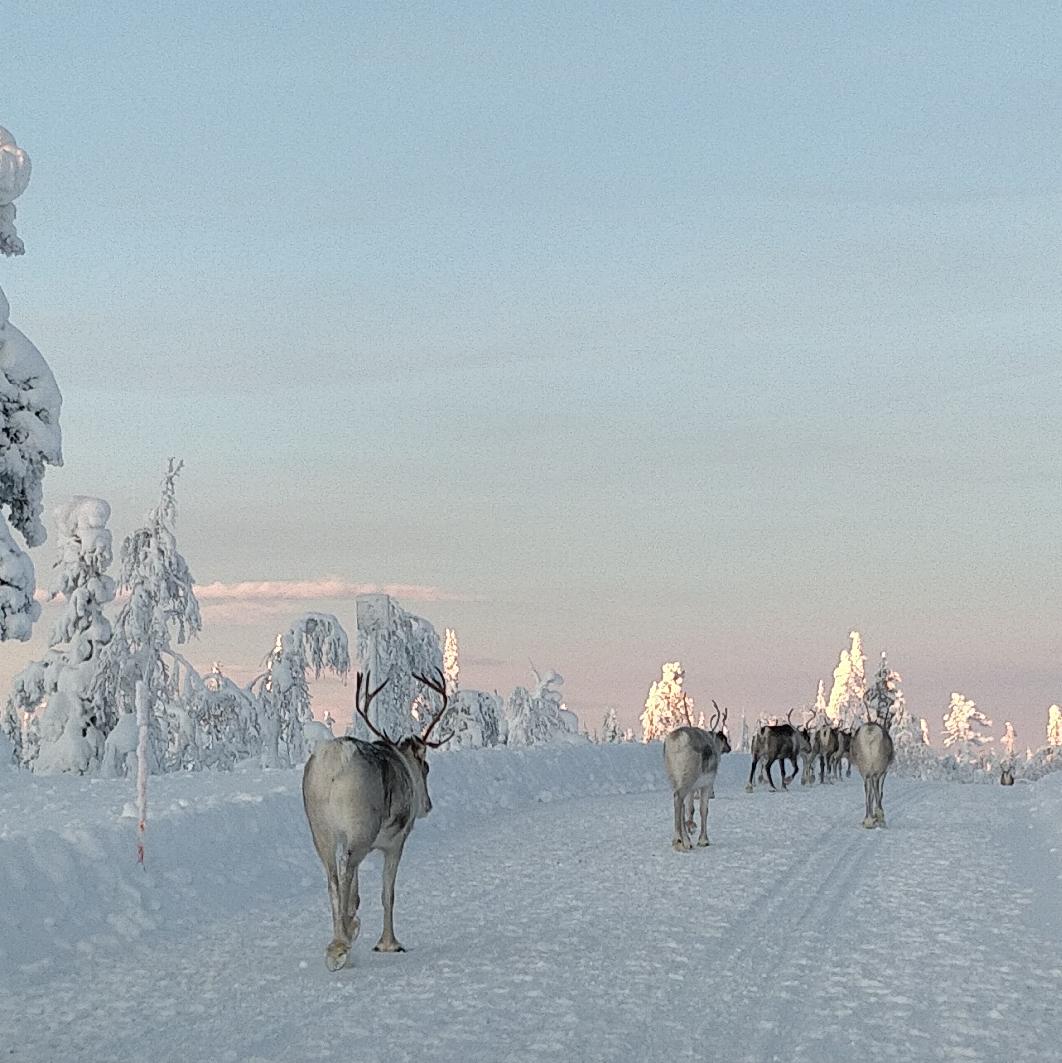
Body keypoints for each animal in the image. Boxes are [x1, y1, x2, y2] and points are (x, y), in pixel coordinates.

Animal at [302, 669, 451, 971]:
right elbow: (387, 894)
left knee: (333, 877)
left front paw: (355, 924)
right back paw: (340, 945)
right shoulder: (395, 843)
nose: (427, 806)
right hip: (361, 831)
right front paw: (388, 943)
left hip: (321, 830)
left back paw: (340, 938)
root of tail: (333, 761)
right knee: (345, 871)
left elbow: (356, 895)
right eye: (427, 767)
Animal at [665, 701, 731, 851]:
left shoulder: (693, 788)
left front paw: (691, 830)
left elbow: (690, 808)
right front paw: (703, 840)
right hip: (688, 777)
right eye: (724, 739)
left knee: (679, 802)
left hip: (674, 777)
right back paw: (679, 840)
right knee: (678, 798)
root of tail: (678, 740)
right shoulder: (707, 783)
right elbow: (703, 809)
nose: (729, 748)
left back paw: (685, 840)